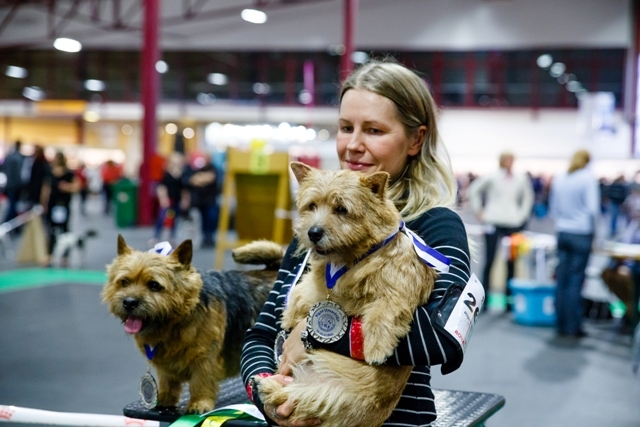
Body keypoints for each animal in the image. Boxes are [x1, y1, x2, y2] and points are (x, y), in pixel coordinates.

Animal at [104, 237, 284, 414]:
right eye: (124, 282)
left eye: (154, 285)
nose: (129, 302)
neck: (176, 322)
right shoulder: (165, 364)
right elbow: (167, 381)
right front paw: (164, 400)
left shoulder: (205, 358)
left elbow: (200, 381)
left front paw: (199, 403)